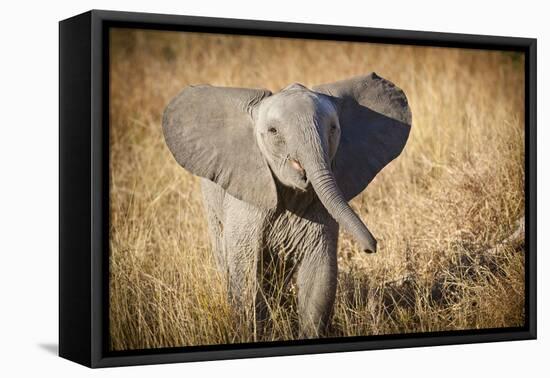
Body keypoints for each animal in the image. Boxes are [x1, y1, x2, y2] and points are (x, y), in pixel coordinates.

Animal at [162, 72, 412, 338]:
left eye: (333, 129)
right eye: (273, 131)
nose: (371, 248)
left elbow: (319, 274)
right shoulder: (246, 199)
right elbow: (245, 272)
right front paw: (253, 333)